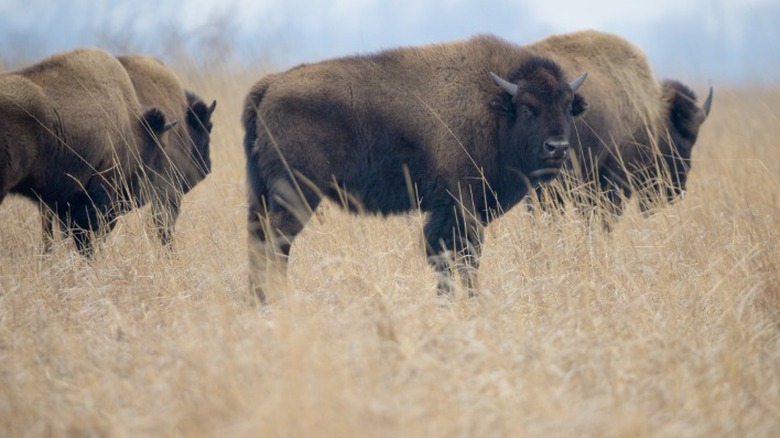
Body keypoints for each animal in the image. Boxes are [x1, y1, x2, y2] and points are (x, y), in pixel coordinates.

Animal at [241, 34, 588, 302]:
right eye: (528, 108)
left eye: (567, 107)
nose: (557, 147)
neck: (495, 108)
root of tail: (270, 85)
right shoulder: (459, 208)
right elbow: (459, 257)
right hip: (297, 194)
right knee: (277, 242)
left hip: (260, 195)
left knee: (259, 240)